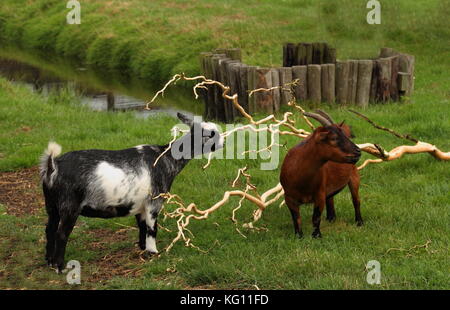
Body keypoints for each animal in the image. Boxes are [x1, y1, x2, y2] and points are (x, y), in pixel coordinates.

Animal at [40, 113, 223, 272]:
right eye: (211, 133)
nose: (223, 140)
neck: (166, 158)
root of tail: (53, 166)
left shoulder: (139, 206)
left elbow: (142, 227)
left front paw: (143, 249)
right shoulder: (153, 203)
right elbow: (151, 229)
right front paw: (153, 252)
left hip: (51, 205)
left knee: (50, 229)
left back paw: (49, 261)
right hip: (69, 206)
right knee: (61, 234)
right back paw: (59, 266)